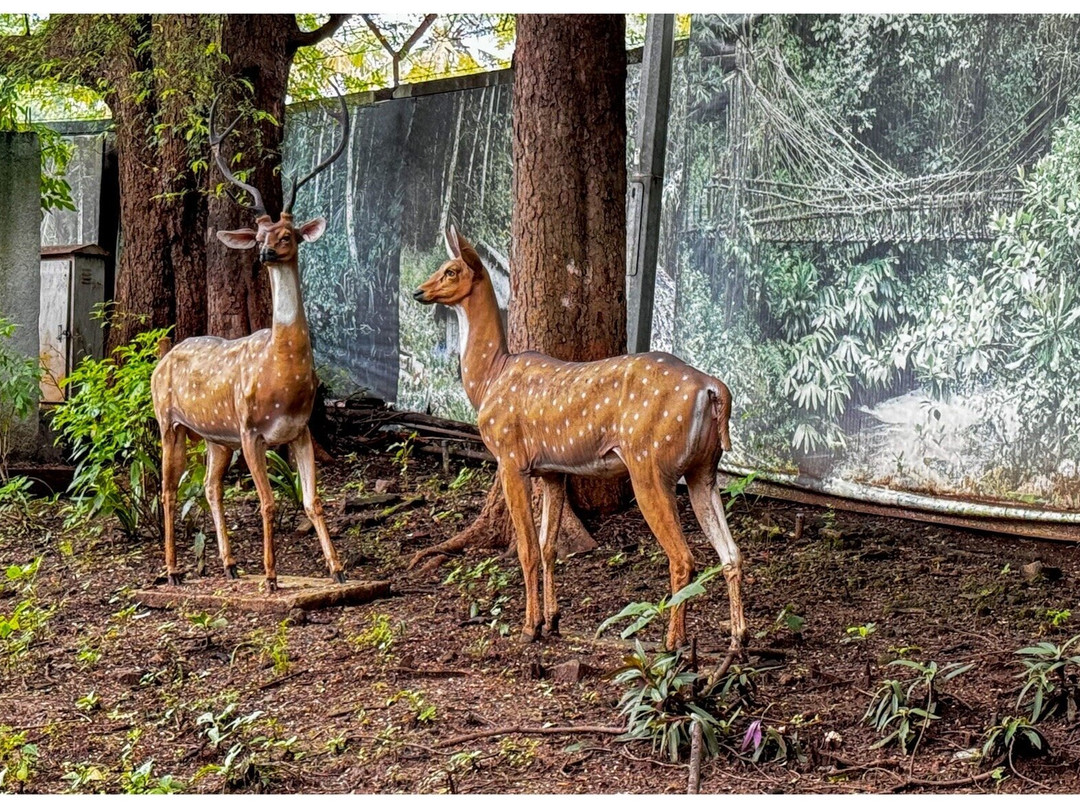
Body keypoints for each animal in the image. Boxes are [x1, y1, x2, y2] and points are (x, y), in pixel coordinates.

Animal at [150, 91, 350, 592]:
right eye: (259, 233)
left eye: (287, 234)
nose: (263, 252)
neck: (285, 374)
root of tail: (161, 360)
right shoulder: (249, 429)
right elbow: (269, 501)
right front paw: (272, 576)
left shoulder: (299, 430)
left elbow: (311, 501)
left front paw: (337, 569)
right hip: (169, 421)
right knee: (167, 488)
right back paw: (173, 570)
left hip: (215, 436)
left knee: (208, 486)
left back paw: (228, 562)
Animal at [413, 227, 747, 653]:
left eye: (451, 270)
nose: (418, 291)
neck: (489, 379)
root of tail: (713, 389)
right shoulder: (553, 470)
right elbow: (548, 546)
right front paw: (552, 621)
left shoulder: (510, 456)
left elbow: (526, 549)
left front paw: (529, 627)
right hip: (705, 468)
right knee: (732, 553)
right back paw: (738, 639)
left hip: (651, 462)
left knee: (683, 557)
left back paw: (673, 643)